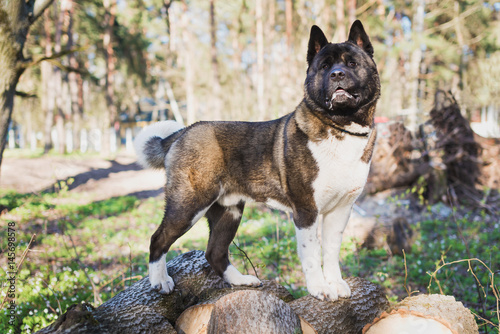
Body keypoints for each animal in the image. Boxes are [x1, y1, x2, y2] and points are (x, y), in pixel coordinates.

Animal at [134, 20, 378, 302]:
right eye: (325, 66)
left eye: (352, 63)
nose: (337, 74)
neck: (340, 127)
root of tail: (185, 131)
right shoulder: (306, 211)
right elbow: (311, 253)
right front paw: (319, 288)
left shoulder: (341, 210)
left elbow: (330, 251)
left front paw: (336, 283)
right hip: (189, 204)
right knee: (158, 239)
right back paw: (160, 281)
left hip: (229, 211)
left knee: (215, 252)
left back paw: (240, 281)